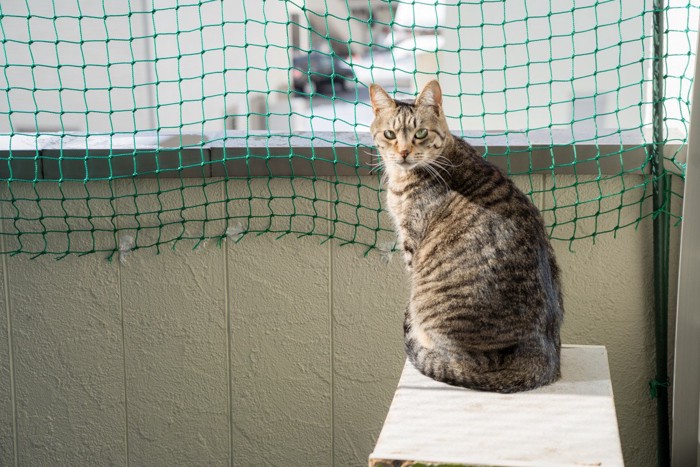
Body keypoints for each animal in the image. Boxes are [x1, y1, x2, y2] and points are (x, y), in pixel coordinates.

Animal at [372, 81, 564, 394]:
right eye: (390, 134)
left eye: (420, 133)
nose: (403, 152)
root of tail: (543, 355)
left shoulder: (412, 243)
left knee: (462, 364)